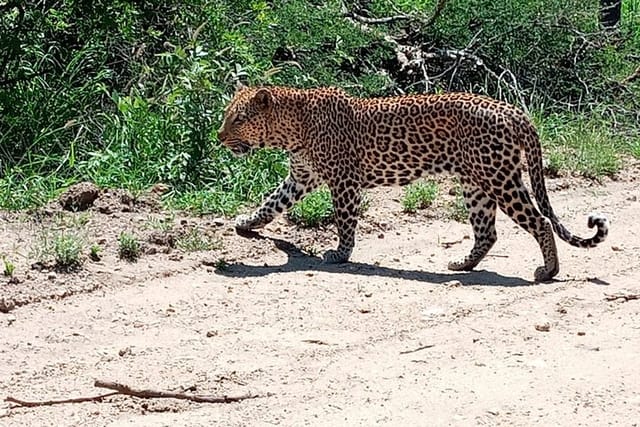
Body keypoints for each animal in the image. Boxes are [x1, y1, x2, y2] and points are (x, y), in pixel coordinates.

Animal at [218, 85, 608, 282]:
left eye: (238, 119)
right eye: (226, 115)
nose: (219, 137)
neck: (291, 129)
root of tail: (514, 111)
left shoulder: (344, 181)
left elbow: (344, 221)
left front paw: (341, 254)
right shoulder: (300, 177)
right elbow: (271, 202)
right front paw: (246, 223)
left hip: (499, 178)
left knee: (540, 221)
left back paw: (547, 271)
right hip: (476, 182)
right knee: (488, 231)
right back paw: (462, 265)